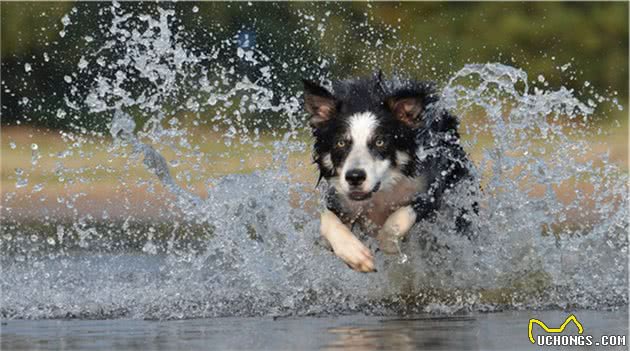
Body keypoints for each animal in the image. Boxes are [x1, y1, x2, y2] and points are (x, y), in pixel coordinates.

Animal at [304, 73, 476, 274]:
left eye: (380, 142)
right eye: (341, 143)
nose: (354, 177)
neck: (381, 191)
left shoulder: (431, 188)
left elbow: (400, 217)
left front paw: (388, 243)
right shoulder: (339, 199)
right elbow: (327, 220)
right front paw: (355, 255)